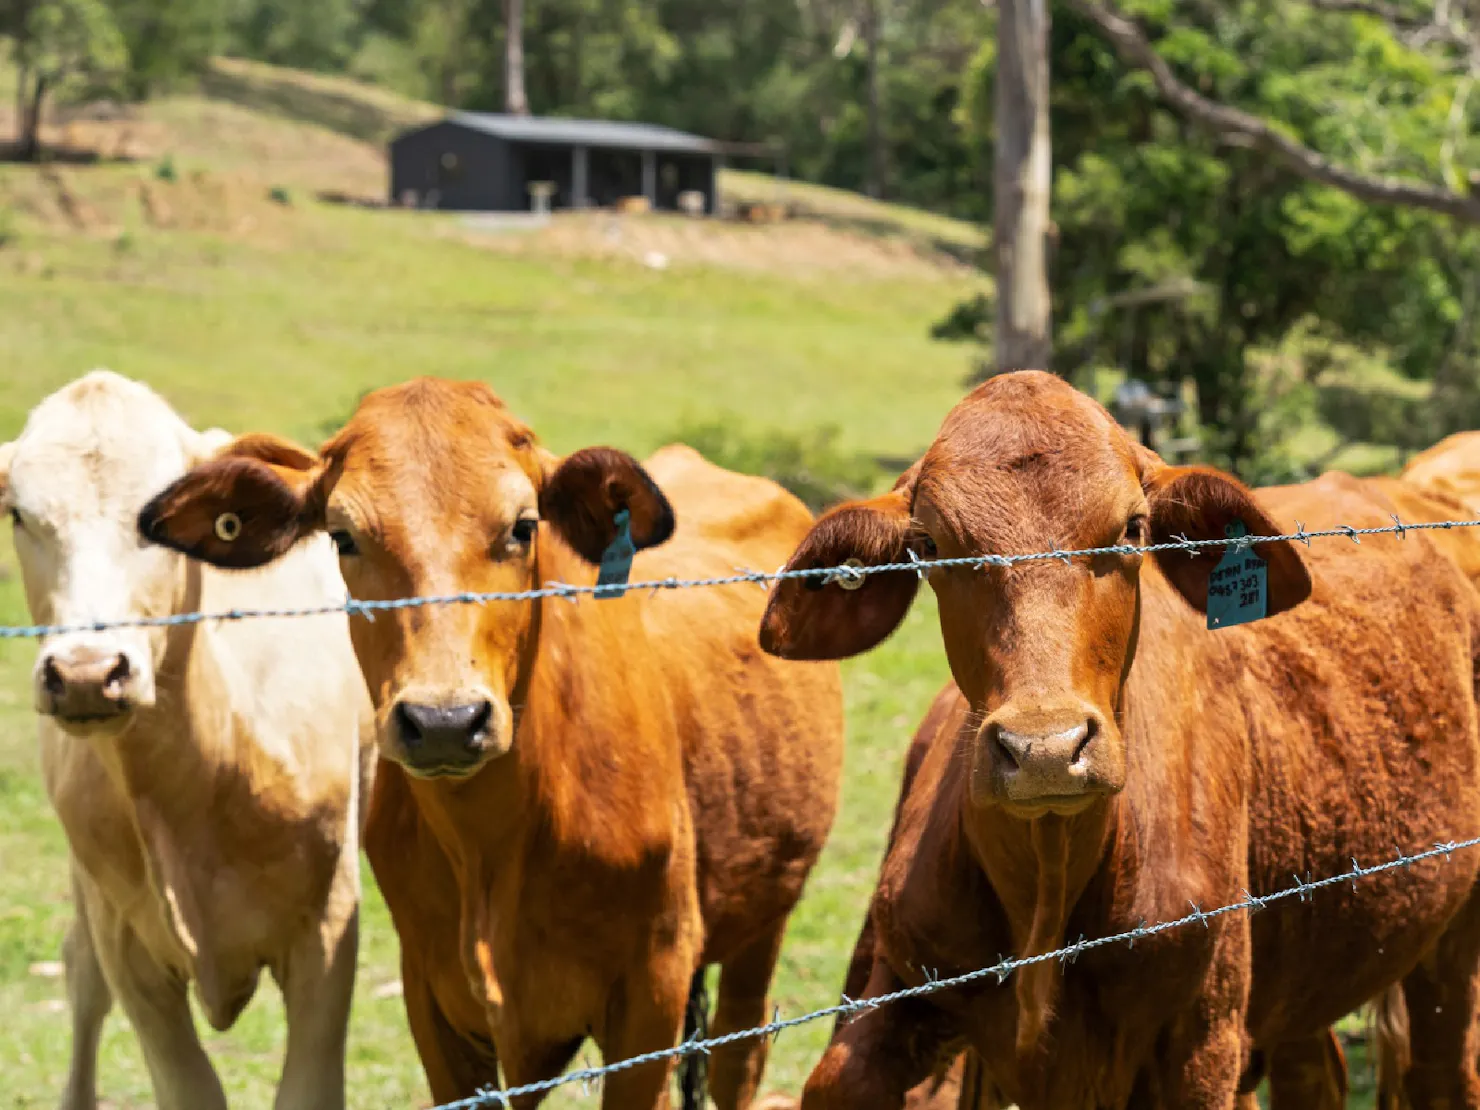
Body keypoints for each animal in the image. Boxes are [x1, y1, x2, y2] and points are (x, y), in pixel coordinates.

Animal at [0, 374, 375, 1110]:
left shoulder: (327, 933)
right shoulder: (131, 950)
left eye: (160, 523)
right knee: (81, 978)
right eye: (20, 515)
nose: (86, 674)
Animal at [763, 374, 1480, 1110]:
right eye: (932, 546)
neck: (1047, 888)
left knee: (1444, 1069)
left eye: (1133, 528)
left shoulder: (1202, 1045)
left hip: (1451, 949)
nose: (1045, 749)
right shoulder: (896, 993)